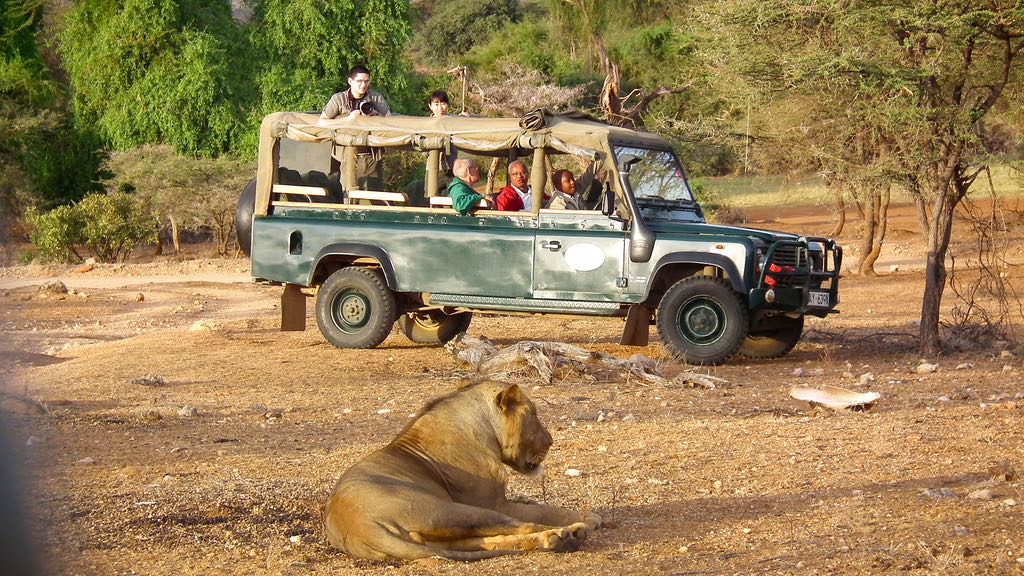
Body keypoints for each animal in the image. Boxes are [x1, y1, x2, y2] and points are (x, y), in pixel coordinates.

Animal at [323, 379, 602, 557]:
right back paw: (568, 533)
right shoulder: (495, 503)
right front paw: (588, 517)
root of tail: (359, 526)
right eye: (534, 414)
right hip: (449, 510)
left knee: (487, 541)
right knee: (521, 525)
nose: (551, 440)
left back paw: (559, 540)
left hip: (440, 533)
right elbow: (545, 511)